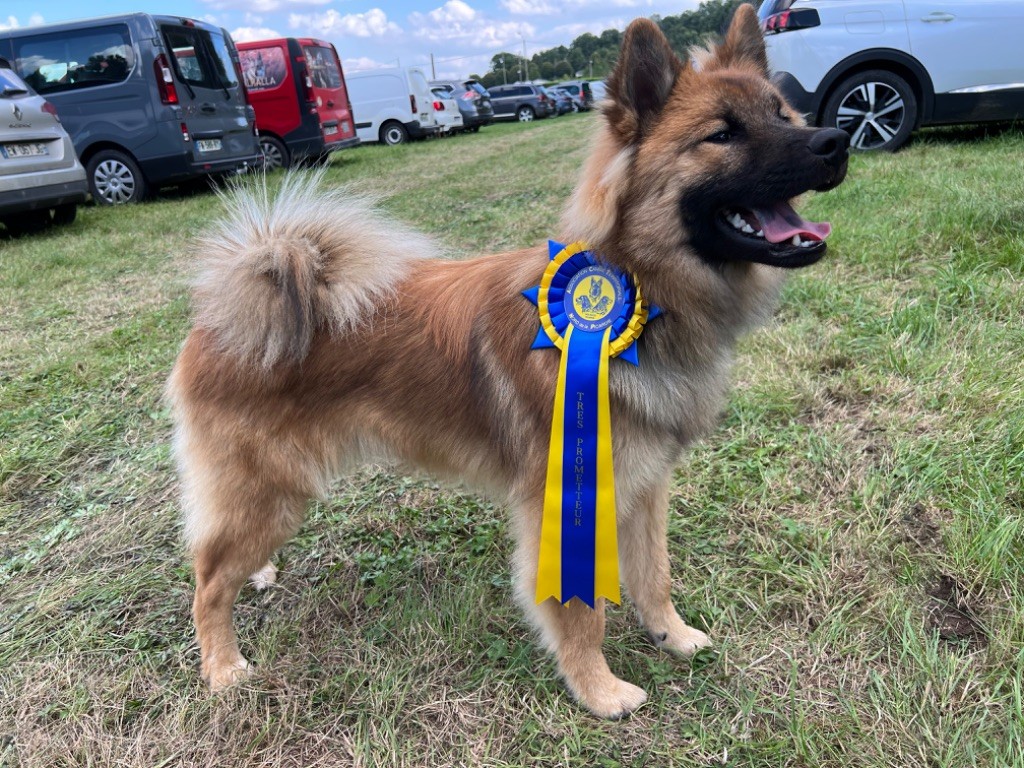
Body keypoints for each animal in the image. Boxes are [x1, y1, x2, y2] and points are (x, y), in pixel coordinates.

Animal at [165, 3, 847, 720]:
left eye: (784, 115)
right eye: (721, 135)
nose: (835, 141)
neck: (639, 291)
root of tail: (232, 307)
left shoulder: (643, 483)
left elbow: (653, 574)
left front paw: (673, 635)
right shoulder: (567, 497)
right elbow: (579, 610)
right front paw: (599, 690)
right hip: (268, 493)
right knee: (206, 582)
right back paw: (222, 667)